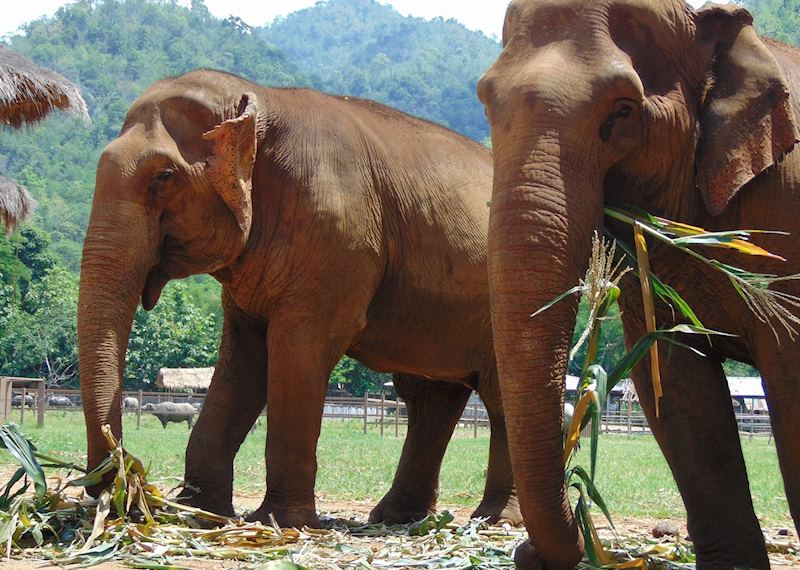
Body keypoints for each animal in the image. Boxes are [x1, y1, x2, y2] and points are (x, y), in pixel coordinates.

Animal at [77, 69, 520, 529]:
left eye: (163, 177)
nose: (123, 484)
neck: (264, 102)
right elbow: (243, 363)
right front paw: (202, 512)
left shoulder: (336, 237)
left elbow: (297, 352)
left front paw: (282, 520)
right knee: (430, 399)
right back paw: (396, 518)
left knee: (498, 396)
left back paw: (495, 519)